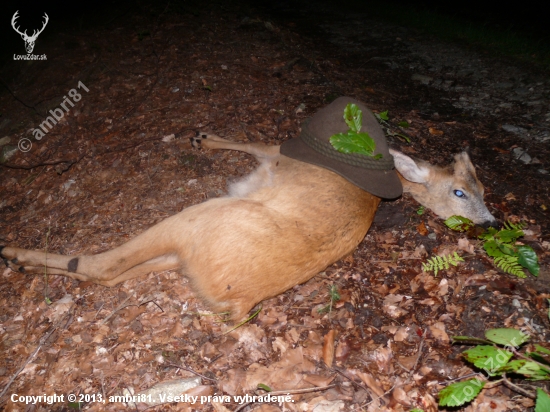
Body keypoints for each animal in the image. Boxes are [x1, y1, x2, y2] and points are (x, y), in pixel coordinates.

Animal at [0, 98, 500, 320]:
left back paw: (14, 253)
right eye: (463, 191)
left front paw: (204, 139)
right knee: (116, 272)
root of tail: (237, 300)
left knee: (102, 266)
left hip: (197, 218)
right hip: (185, 252)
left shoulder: (280, 153)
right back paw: (25, 266)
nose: (492, 220)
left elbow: (253, 143)